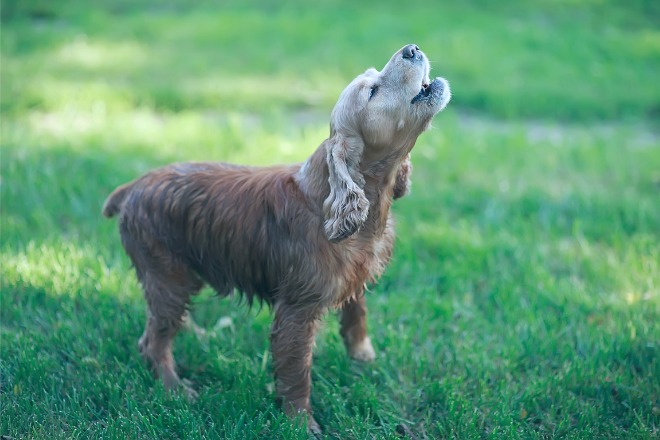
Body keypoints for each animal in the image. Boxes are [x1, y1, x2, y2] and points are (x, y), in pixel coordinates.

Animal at [103, 45, 452, 434]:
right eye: (372, 92)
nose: (411, 49)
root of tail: (132, 188)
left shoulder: (354, 278)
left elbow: (356, 315)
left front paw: (363, 358)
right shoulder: (296, 311)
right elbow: (297, 371)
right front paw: (301, 423)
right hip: (168, 278)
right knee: (152, 341)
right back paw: (175, 389)